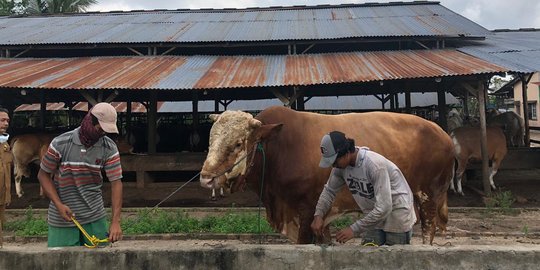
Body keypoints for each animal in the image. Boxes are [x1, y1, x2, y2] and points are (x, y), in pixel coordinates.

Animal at [200, 106, 454, 245]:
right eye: (210, 140)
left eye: (238, 143)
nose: (206, 177)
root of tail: (443, 133)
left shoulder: (306, 210)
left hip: (429, 195)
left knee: (428, 228)